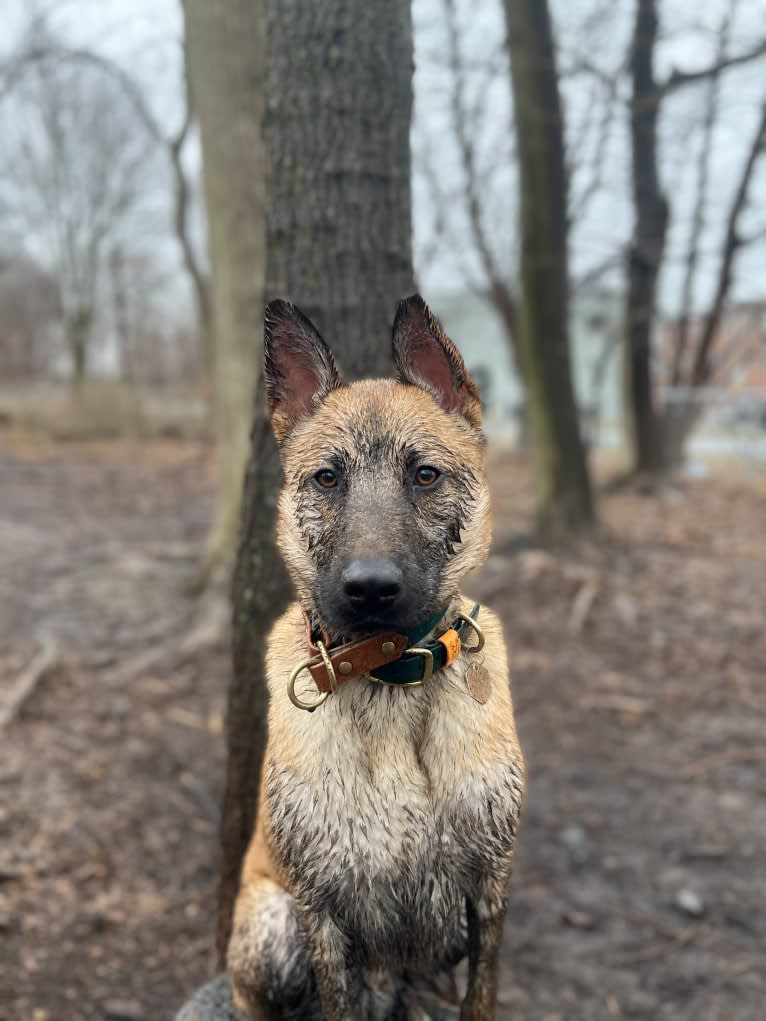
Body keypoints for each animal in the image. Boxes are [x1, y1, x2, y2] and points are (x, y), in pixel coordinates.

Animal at [227, 296, 527, 1021]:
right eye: (327, 478)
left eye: (425, 474)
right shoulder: (321, 913)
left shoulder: (489, 891)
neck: (391, 676)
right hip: (273, 931)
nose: (369, 588)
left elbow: (482, 995)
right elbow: (337, 1001)